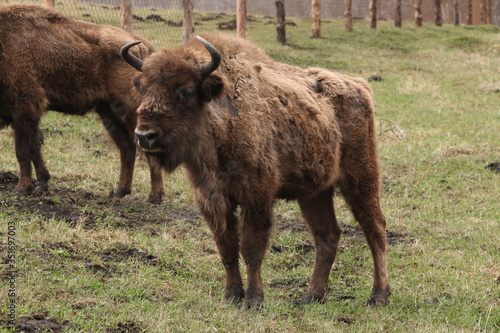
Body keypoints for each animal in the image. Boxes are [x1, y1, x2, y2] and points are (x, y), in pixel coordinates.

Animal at [0, 4, 165, 202]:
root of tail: (142, 46)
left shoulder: (25, 107)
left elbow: (23, 150)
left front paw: (22, 188)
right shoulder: (27, 115)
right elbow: (34, 147)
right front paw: (42, 184)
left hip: (131, 108)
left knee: (146, 146)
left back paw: (154, 196)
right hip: (108, 111)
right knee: (126, 147)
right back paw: (119, 191)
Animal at [121, 33, 390, 306]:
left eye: (186, 92)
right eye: (143, 88)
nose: (145, 136)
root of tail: (359, 86)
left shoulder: (257, 196)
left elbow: (251, 248)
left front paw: (254, 299)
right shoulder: (213, 200)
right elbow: (227, 249)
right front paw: (231, 295)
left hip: (361, 178)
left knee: (375, 228)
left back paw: (378, 295)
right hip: (315, 192)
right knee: (327, 235)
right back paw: (312, 295)